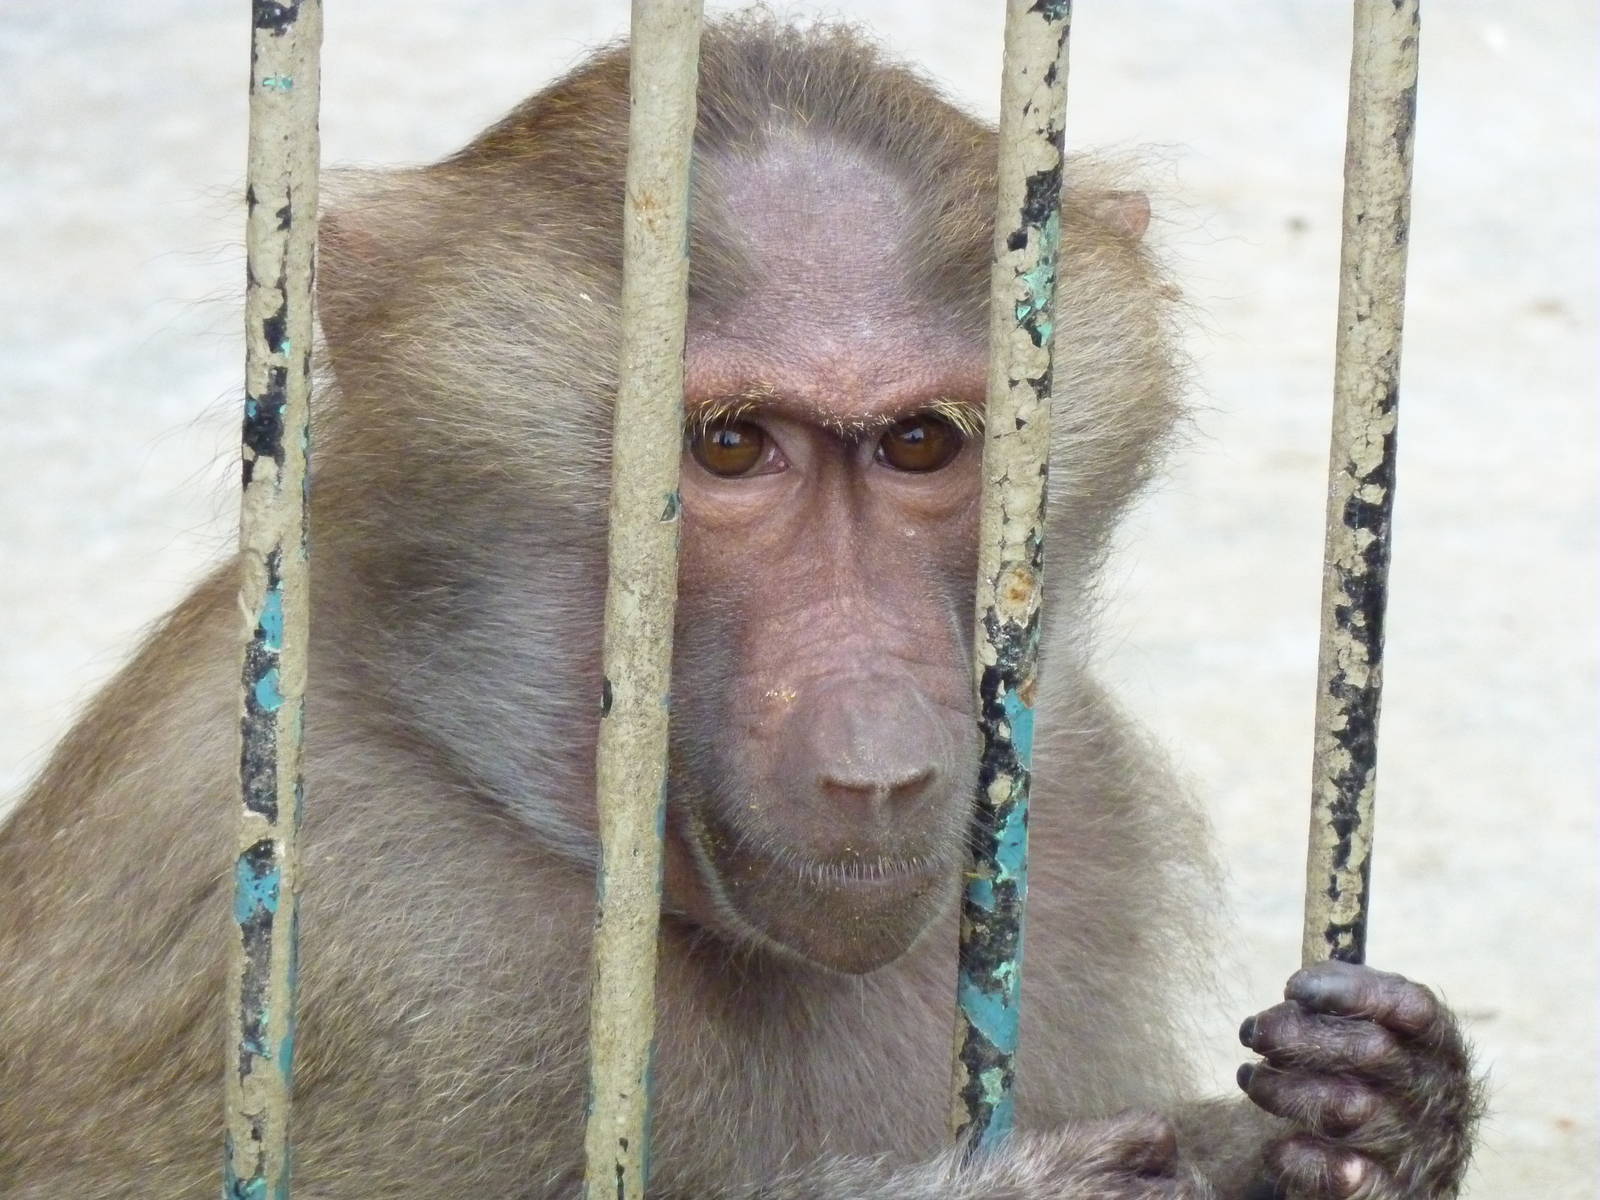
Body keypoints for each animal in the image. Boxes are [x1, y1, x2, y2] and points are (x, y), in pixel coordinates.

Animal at [0, 17, 1480, 1200]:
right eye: (726, 449)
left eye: (921, 445)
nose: (882, 759)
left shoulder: (1082, 816)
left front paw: (1375, 1113)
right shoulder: (366, 938)